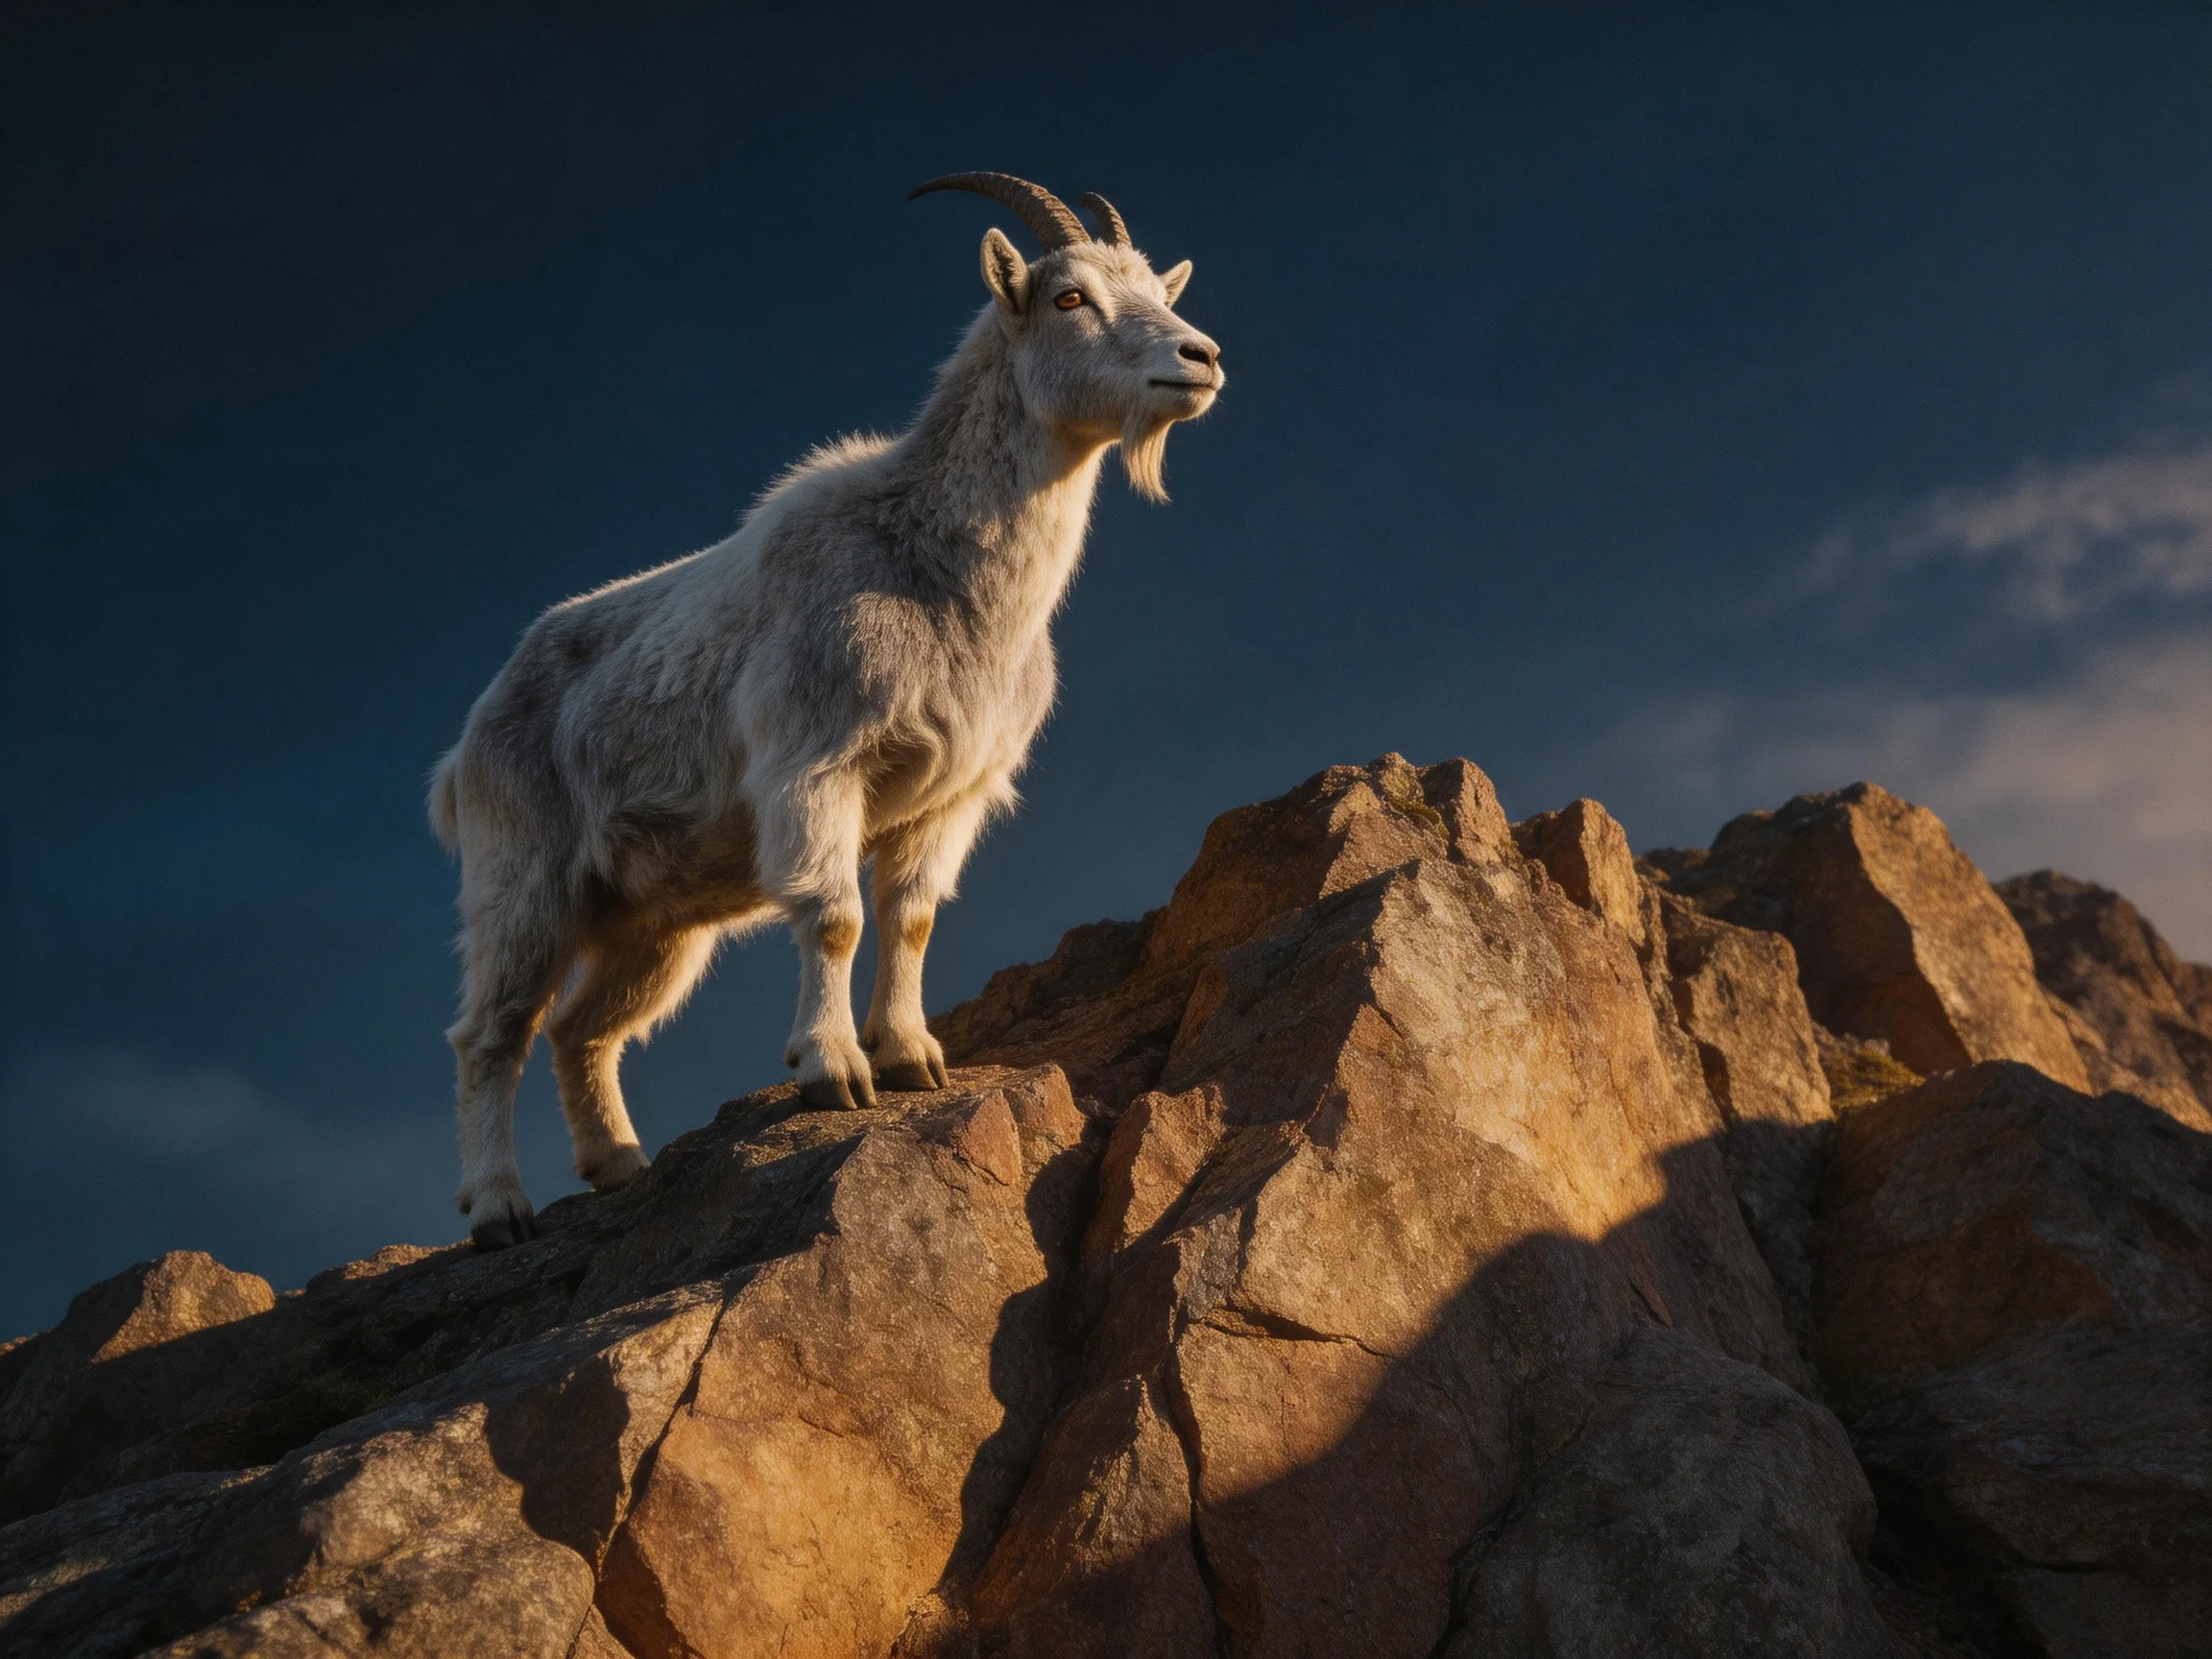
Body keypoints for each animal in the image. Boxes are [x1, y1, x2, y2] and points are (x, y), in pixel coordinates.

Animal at [429, 173, 1221, 1246]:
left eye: (1155, 289)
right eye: (1069, 298)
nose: (1200, 359)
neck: (939, 571)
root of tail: (466, 744)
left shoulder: (951, 799)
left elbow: (911, 917)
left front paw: (912, 1058)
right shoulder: (819, 766)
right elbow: (838, 916)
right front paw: (834, 1071)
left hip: (653, 922)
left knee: (583, 1029)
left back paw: (620, 1165)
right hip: (522, 881)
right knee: (491, 1032)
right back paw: (500, 1208)